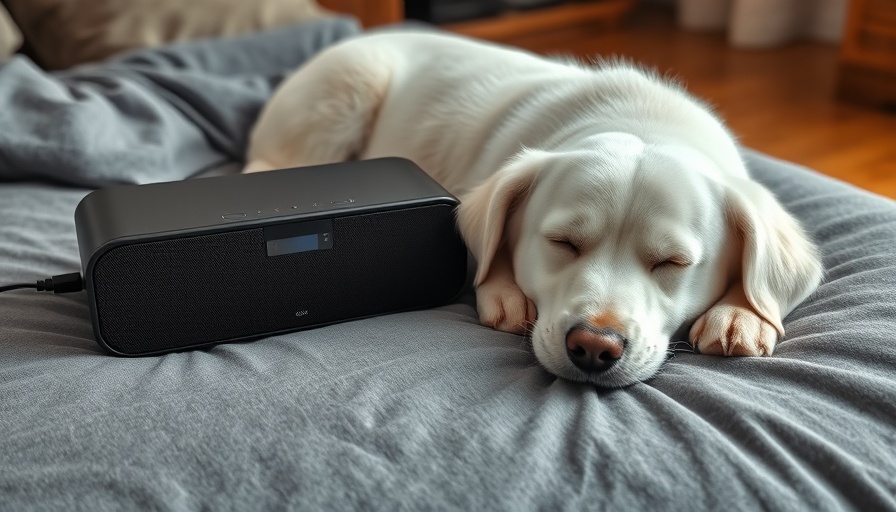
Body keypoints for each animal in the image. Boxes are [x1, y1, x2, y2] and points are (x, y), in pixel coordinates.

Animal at [242, 30, 824, 386]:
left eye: (673, 263)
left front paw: (742, 313)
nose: (594, 347)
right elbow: (486, 254)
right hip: (344, 94)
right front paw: (504, 292)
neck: (642, 121)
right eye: (562, 242)